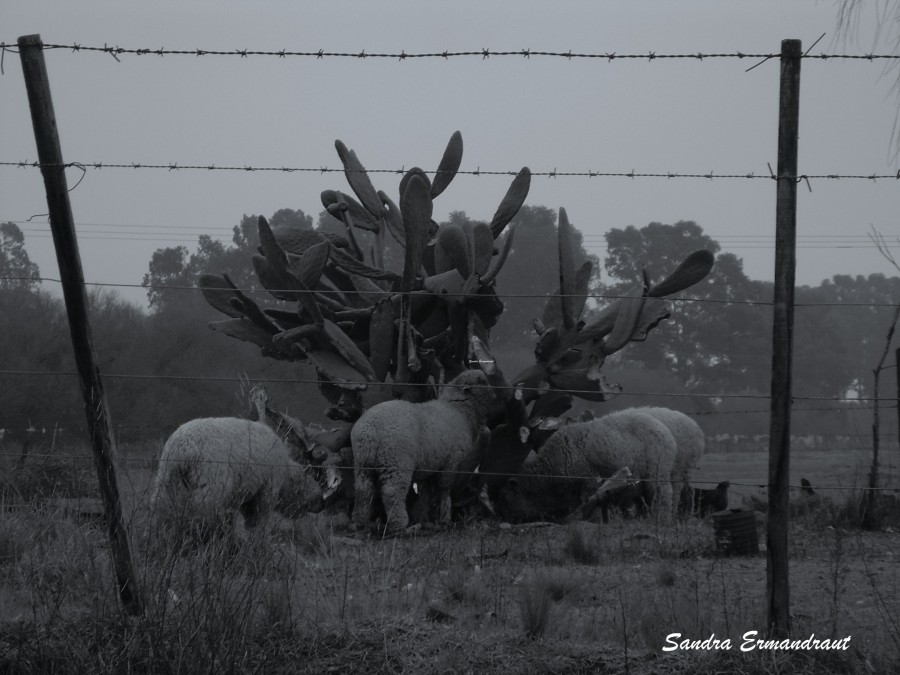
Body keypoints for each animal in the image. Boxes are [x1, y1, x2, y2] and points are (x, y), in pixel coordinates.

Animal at [151, 418, 324, 540]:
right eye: (311, 479)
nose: (322, 502)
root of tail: (184, 449)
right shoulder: (267, 488)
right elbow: (259, 521)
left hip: (167, 477)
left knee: (162, 507)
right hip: (211, 479)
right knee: (202, 511)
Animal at [348, 370, 496, 532]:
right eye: (482, 382)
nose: (496, 395)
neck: (460, 410)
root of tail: (370, 430)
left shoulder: (430, 466)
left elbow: (427, 493)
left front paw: (426, 517)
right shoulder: (452, 461)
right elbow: (445, 490)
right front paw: (444, 517)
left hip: (363, 463)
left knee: (363, 489)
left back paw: (361, 521)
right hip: (397, 462)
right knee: (392, 492)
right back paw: (400, 524)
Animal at [492, 406, 676, 524]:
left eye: (505, 498)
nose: (503, 520)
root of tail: (663, 428)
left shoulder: (589, 480)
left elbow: (591, 501)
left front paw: (592, 521)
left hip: (656, 472)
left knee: (664, 495)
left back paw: (662, 520)